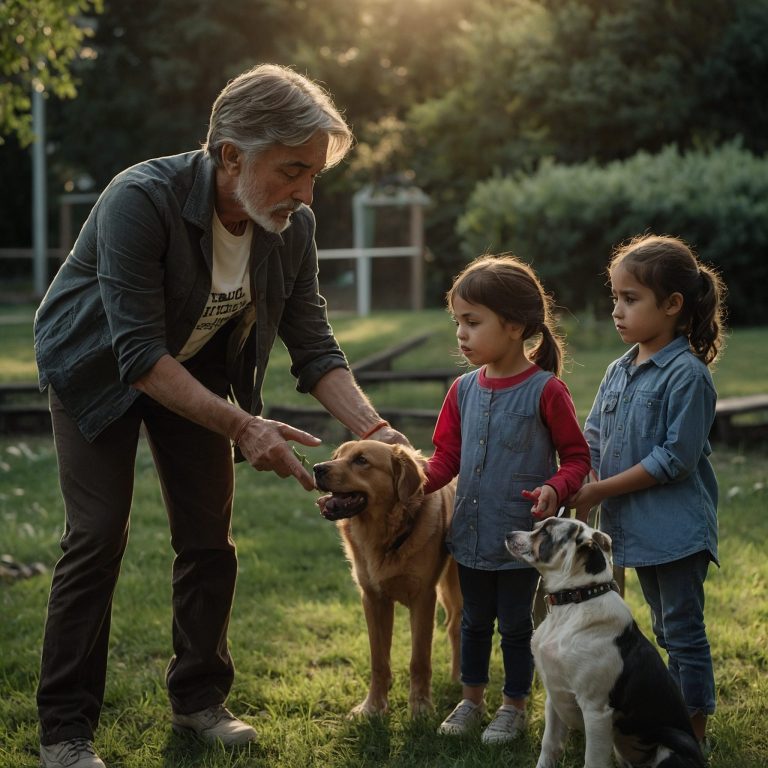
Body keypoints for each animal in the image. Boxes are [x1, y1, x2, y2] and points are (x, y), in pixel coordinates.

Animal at [314, 440, 462, 716]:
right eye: (337, 456)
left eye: (361, 460)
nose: (317, 468)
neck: (385, 536)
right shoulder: (373, 599)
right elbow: (379, 661)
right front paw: (373, 707)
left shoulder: (424, 598)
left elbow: (419, 660)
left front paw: (420, 706)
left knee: (457, 626)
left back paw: (459, 676)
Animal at [504, 516, 708, 768]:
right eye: (536, 526)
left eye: (545, 533)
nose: (508, 535)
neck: (574, 601)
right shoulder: (554, 695)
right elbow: (549, 746)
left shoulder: (596, 709)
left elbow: (592, 760)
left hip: (675, 739)